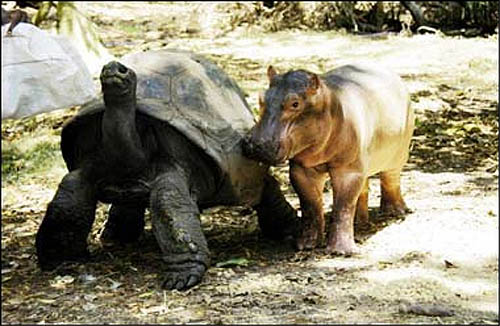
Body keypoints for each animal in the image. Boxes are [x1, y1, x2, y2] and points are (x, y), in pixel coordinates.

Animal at [245, 64, 414, 255]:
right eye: (261, 98)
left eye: (295, 103)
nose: (256, 145)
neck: (331, 104)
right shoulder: (302, 170)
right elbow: (310, 205)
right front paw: (305, 245)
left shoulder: (348, 169)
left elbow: (344, 205)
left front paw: (341, 251)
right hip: (363, 160)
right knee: (363, 186)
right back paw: (360, 221)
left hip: (398, 152)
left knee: (390, 177)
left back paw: (395, 212)